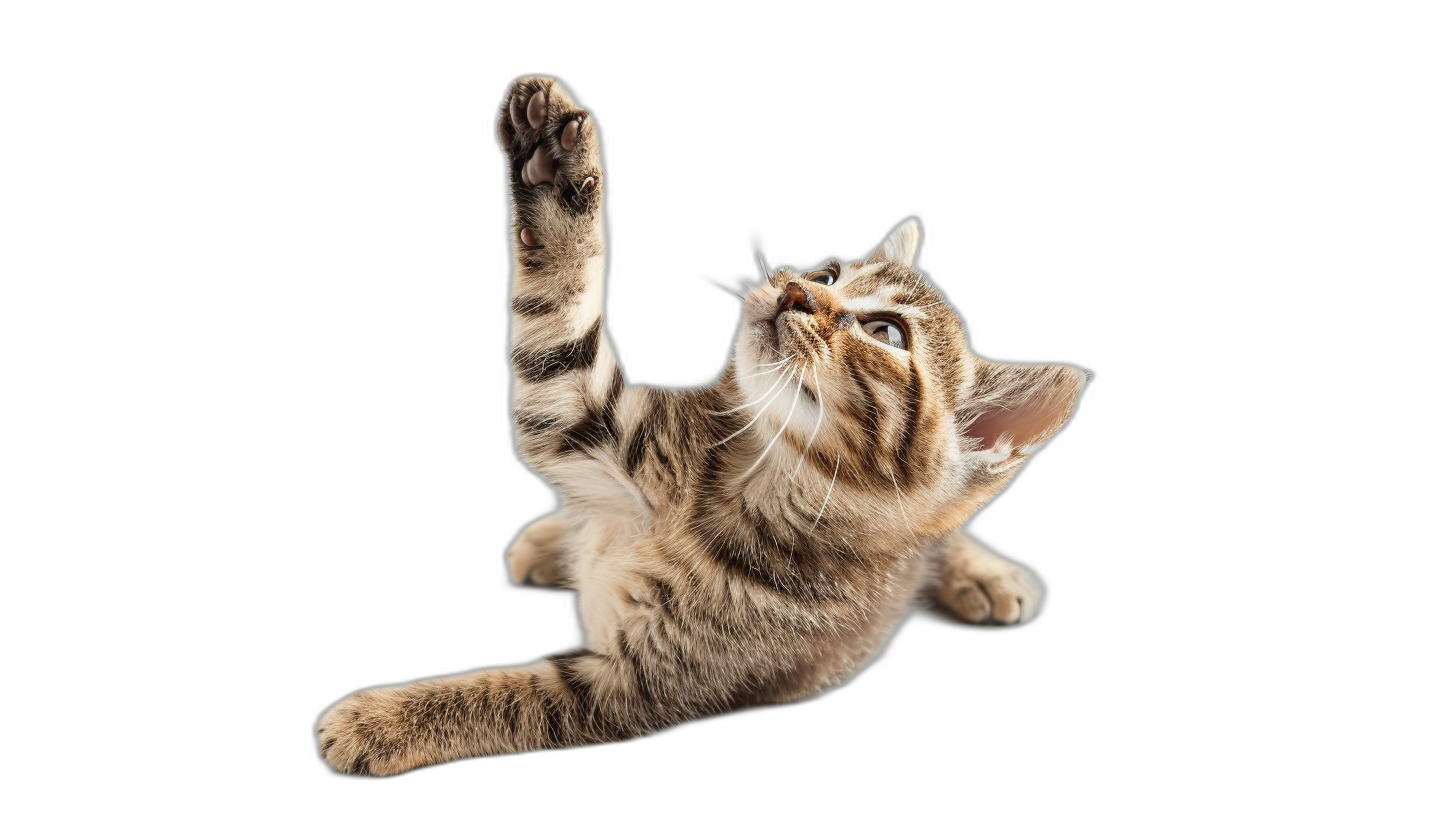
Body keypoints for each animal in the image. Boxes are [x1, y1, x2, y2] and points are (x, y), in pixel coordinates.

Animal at [318, 73, 1094, 775]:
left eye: (885, 333)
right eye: (831, 271)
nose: (794, 288)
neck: (743, 478)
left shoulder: (632, 686)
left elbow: (503, 697)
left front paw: (378, 721)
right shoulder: (575, 416)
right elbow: (556, 326)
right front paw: (553, 166)